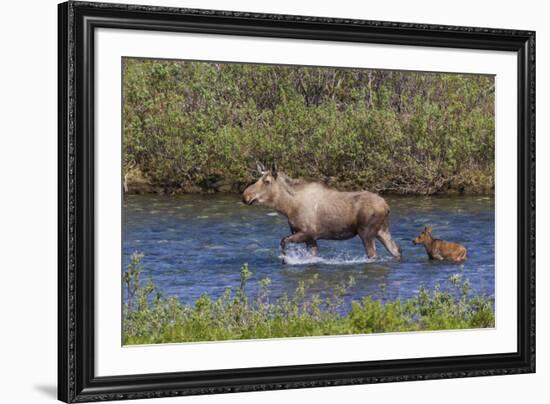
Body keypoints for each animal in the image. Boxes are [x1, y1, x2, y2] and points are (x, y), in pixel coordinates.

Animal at [244, 163, 404, 260]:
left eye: (267, 181)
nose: (245, 195)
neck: (287, 207)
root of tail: (387, 207)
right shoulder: (311, 238)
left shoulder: (307, 232)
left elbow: (283, 242)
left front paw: (285, 259)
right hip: (382, 230)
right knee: (396, 250)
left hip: (366, 233)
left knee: (374, 255)